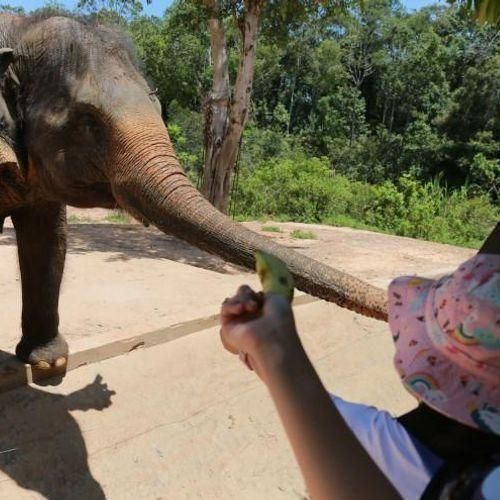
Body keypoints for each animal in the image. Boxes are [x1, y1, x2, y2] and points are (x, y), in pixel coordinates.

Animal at [0, 13, 386, 370]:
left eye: (157, 105)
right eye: (87, 121)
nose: (389, 296)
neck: (20, 30)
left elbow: (48, 238)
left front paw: (48, 363)